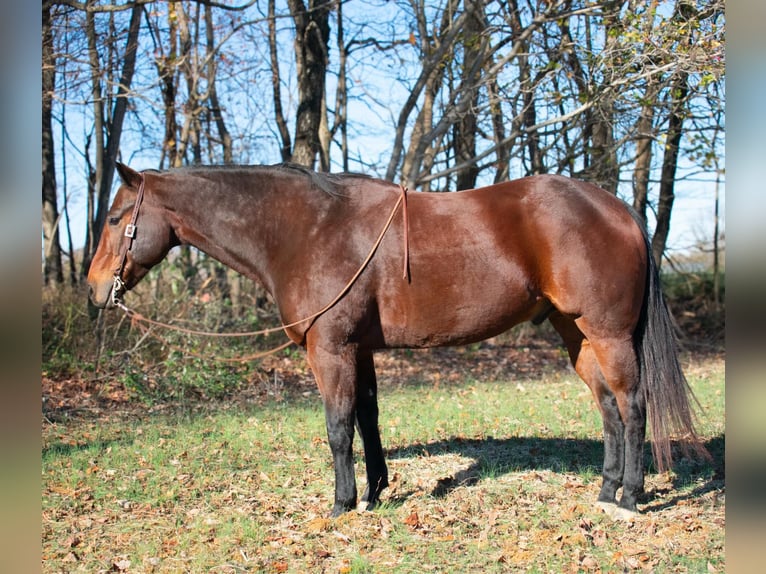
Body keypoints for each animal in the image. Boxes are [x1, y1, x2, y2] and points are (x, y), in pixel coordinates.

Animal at [87, 162, 707, 519]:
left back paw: (630, 498)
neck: (308, 229)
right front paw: (375, 493)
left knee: (632, 406)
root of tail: (619, 208)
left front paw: (342, 504)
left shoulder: (331, 349)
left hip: (608, 334)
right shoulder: (358, 350)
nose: (95, 291)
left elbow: (338, 428)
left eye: (116, 217)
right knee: (607, 408)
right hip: (575, 335)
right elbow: (368, 420)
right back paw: (604, 492)